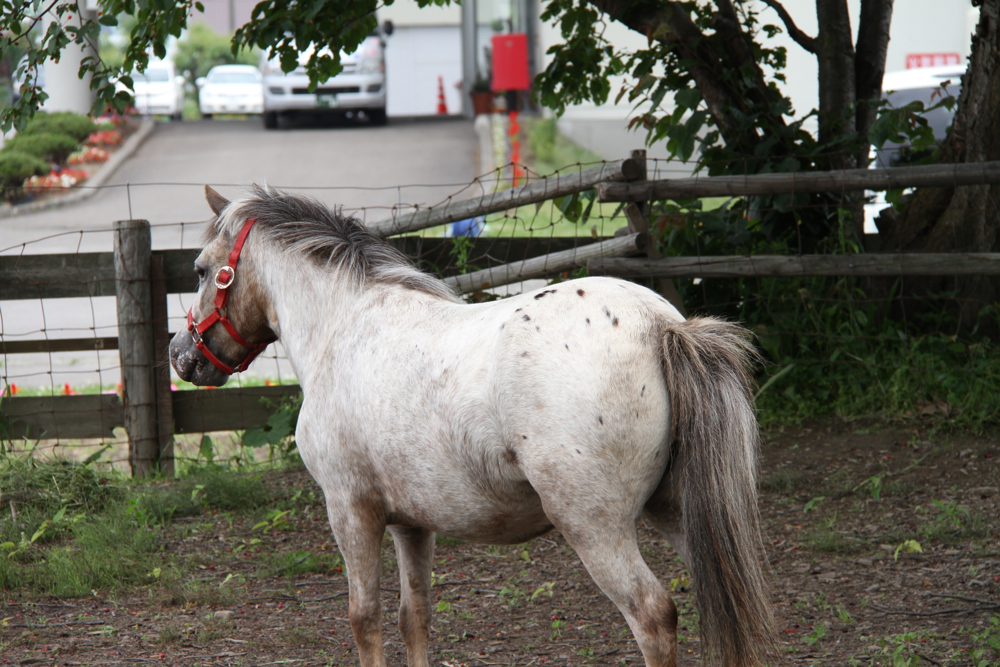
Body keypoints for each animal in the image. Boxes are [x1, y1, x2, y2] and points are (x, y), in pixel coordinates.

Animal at [170, 185, 772, 667]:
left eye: (200, 269)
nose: (182, 356)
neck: (344, 324)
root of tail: (660, 327)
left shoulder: (350, 510)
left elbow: (365, 620)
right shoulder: (411, 524)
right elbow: (415, 616)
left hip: (596, 527)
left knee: (652, 616)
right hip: (679, 511)